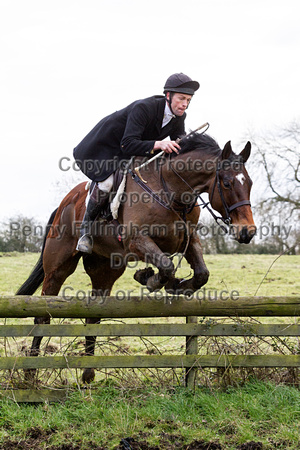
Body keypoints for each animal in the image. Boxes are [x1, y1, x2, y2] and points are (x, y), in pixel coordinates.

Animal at [16, 134, 255, 384]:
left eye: (249, 184)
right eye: (227, 183)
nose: (247, 232)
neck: (171, 190)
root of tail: (64, 203)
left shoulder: (188, 239)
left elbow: (201, 274)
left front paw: (175, 285)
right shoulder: (136, 240)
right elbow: (167, 266)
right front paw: (148, 278)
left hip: (105, 269)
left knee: (93, 317)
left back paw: (88, 373)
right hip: (58, 267)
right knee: (42, 316)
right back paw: (30, 374)